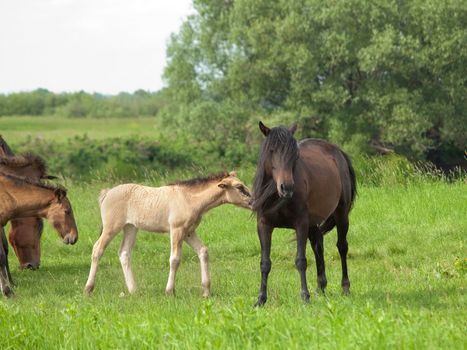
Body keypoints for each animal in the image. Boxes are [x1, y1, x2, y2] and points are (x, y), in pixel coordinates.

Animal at [254, 123, 356, 306]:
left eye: (294, 155)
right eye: (271, 150)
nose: (287, 187)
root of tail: (338, 152)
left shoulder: (300, 224)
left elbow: (300, 261)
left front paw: (304, 296)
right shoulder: (264, 225)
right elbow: (265, 263)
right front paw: (261, 299)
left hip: (341, 214)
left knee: (342, 247)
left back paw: (345, 287)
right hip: (313, 223)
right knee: (318, 245)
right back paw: (321, 287)